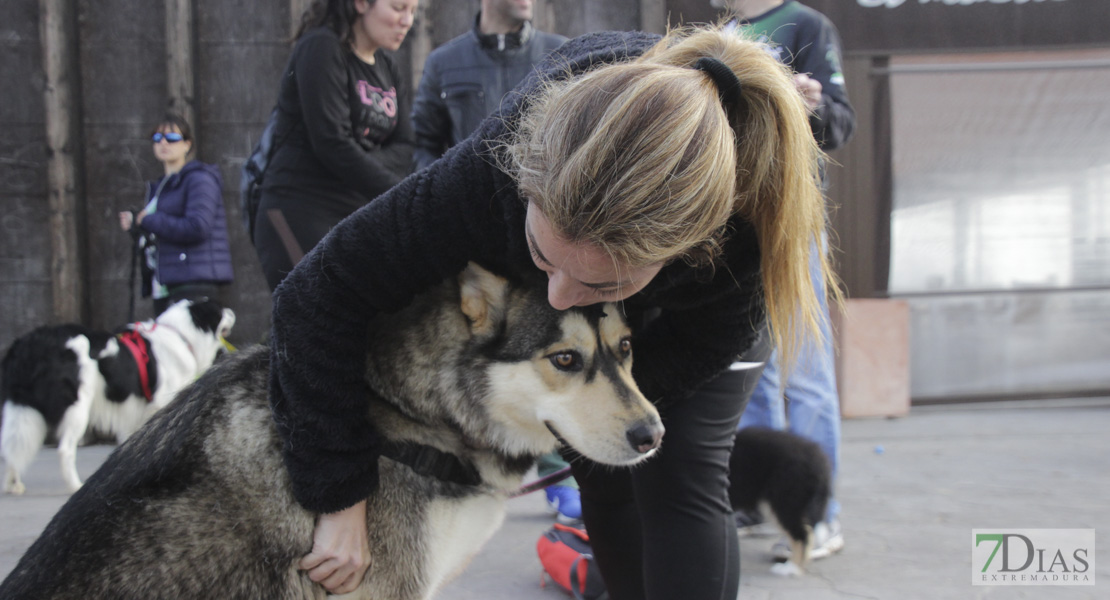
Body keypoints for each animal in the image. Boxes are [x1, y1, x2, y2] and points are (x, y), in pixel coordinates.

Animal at [1, 297, 231, 494]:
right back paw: (75, 485)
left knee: (10, 446)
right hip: (77, 407)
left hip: (20, 408)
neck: (180, 335)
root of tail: (30, 344)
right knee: (64, 450)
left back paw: (13, 485)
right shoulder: (160, 406)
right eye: (220, 309)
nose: (232, 310)